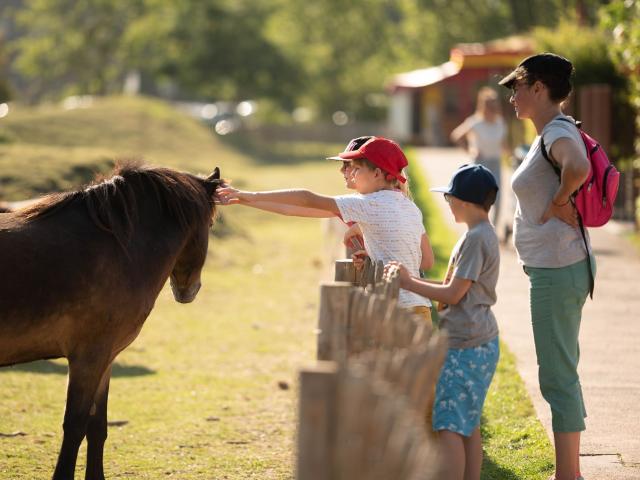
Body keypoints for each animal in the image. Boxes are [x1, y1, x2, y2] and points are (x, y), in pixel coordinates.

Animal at [0, 162, 224, 480]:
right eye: (211, 225)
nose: (187, 291)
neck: (118, 248)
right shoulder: (88, 358)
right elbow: (75, 425)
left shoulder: (106, 359)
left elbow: (97, 427)